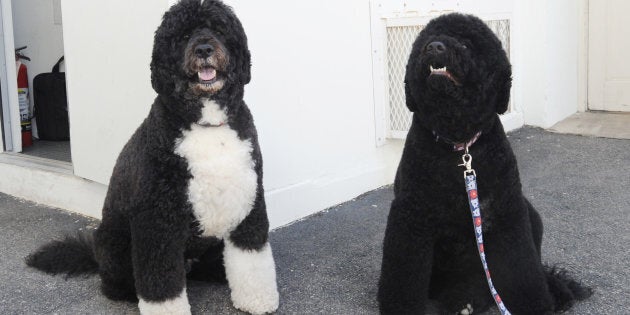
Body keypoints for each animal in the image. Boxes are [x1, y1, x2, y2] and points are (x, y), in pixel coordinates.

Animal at [26, 1, 278, 314]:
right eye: (183, 36)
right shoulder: (157, 221)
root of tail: (96, 255)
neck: (206, 123)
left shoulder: (248, 203)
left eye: (219, 30)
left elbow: (252, 259)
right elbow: (161, 284)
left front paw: (257, 301)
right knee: (115, 284)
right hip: (117, 245)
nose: (204, 49)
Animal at [378, 13, 596, 314]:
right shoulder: (411, 215)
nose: (434, 47)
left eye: (467, 45)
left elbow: (523, 272)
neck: (459, 145)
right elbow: (404, 275)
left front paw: (537, 305)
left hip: (531, 214)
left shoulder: (507, 213)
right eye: (426, 40)